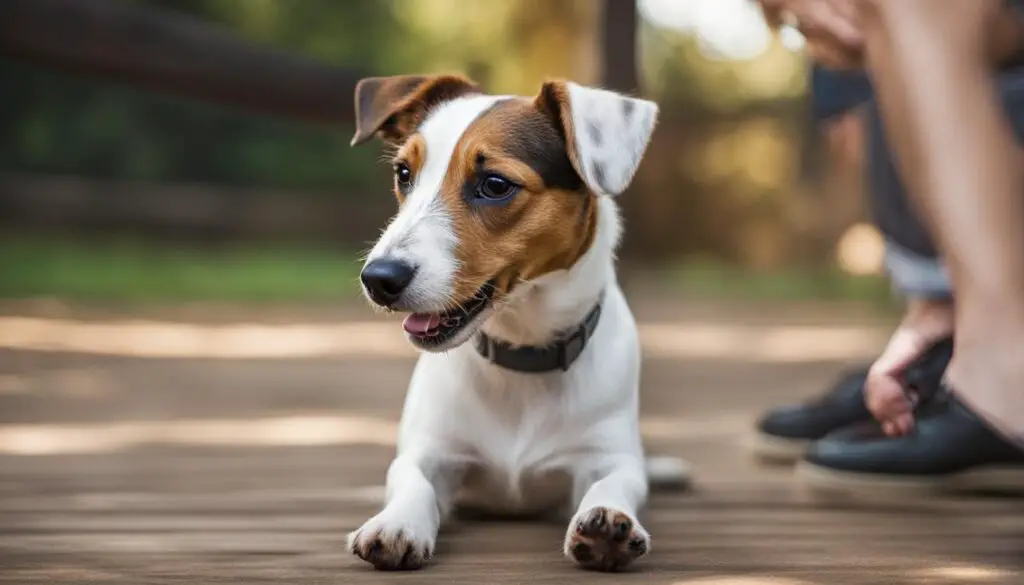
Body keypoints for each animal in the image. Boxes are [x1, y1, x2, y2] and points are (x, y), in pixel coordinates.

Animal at [344, 73, 688, 573]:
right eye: (404, 174)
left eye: (494, 184)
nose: (378, 278)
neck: (521, 355)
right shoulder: (430, 453)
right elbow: (412, 481)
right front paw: (397, 521)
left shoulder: (607, 457)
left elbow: (616, 482)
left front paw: (607, 523)